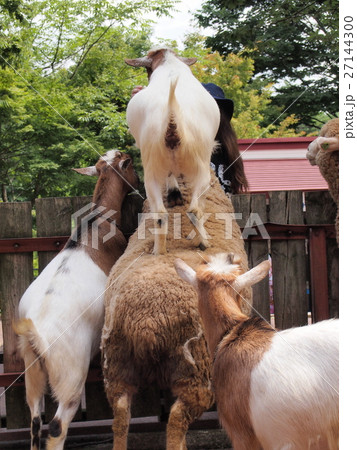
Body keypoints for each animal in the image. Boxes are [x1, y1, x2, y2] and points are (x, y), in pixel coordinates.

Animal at [13, 150, 138, 450]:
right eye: (130, 164)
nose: (139, 180)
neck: (97, 223)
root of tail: (38, 338)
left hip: (32, 373)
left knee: (35, 421)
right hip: (70, 376)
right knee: (57, 425)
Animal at [125, 47, 220, 255]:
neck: (168, 64)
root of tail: (172, 122)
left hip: (151, 169)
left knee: (160, 214)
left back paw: (159, 251)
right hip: (200, 167)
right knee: (194, 210)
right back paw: (203, 242)